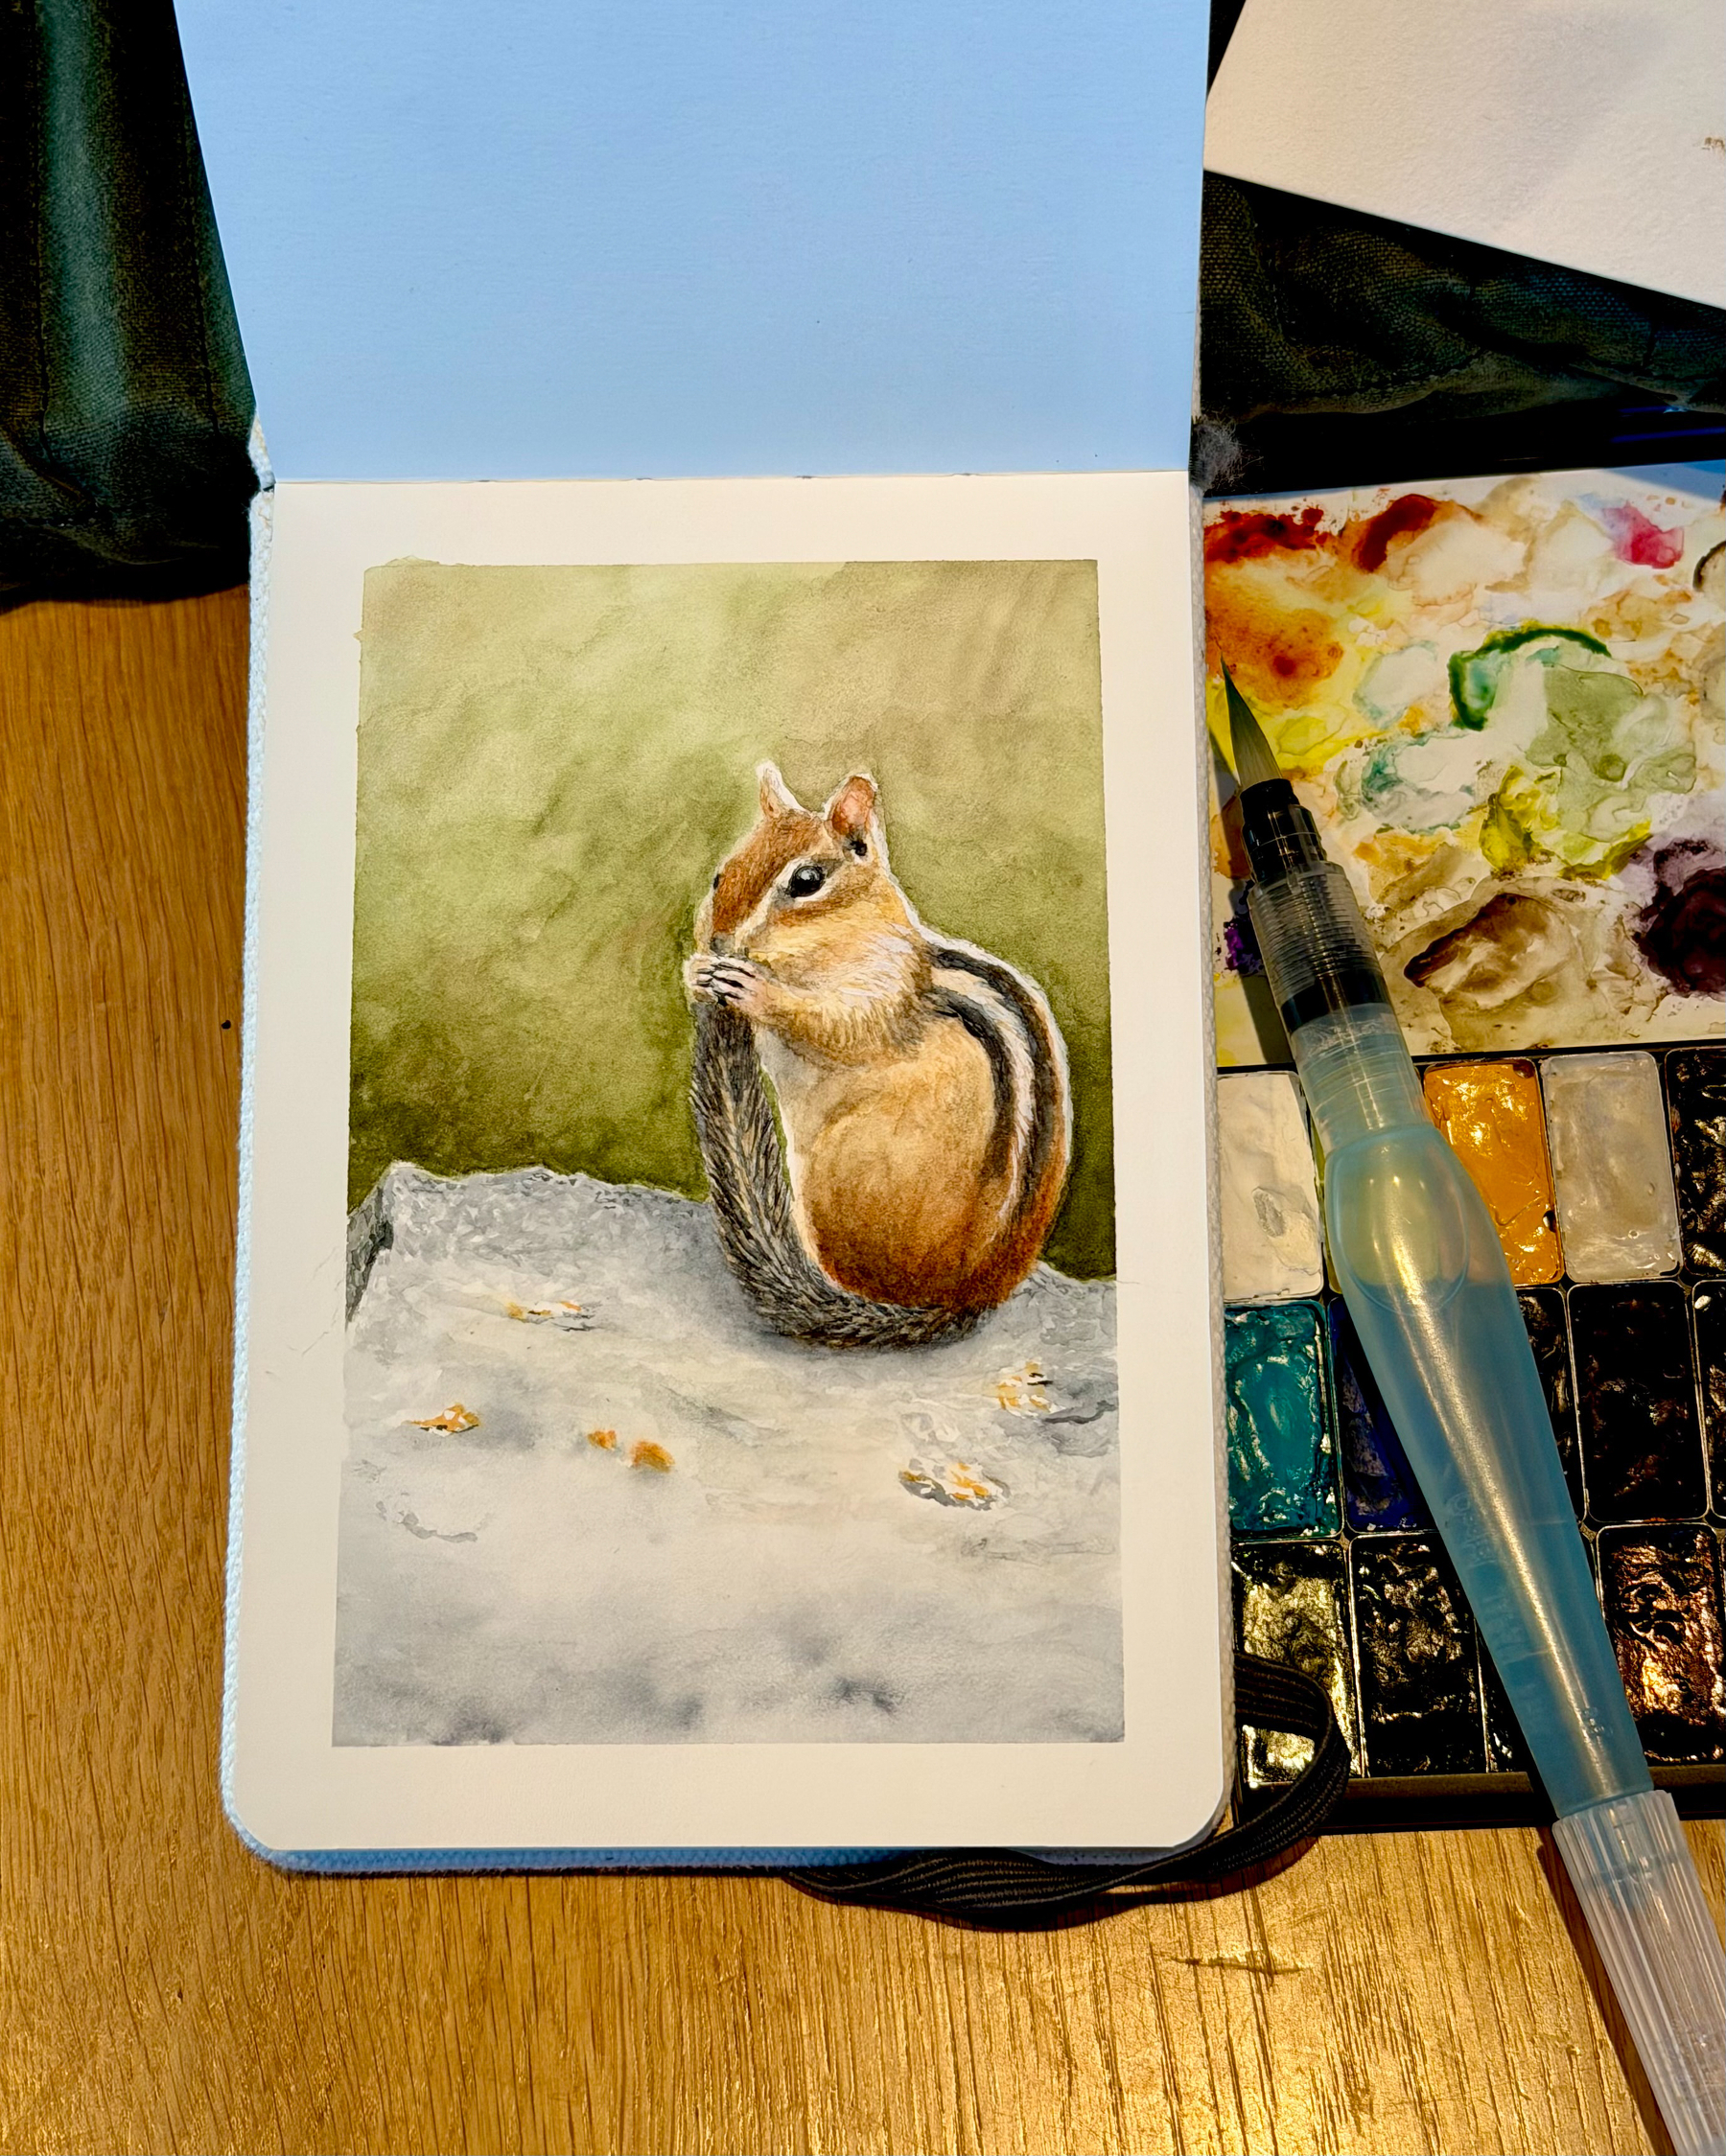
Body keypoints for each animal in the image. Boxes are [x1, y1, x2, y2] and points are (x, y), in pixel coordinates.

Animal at [685, 763, 1072, 1349]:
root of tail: (965, 1295)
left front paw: (756, 989)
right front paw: (695, 971)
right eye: (719, 876)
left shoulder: (879, 990)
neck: (841, 937)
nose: (722, 941)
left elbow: (832, 1025)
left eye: (807, 881)